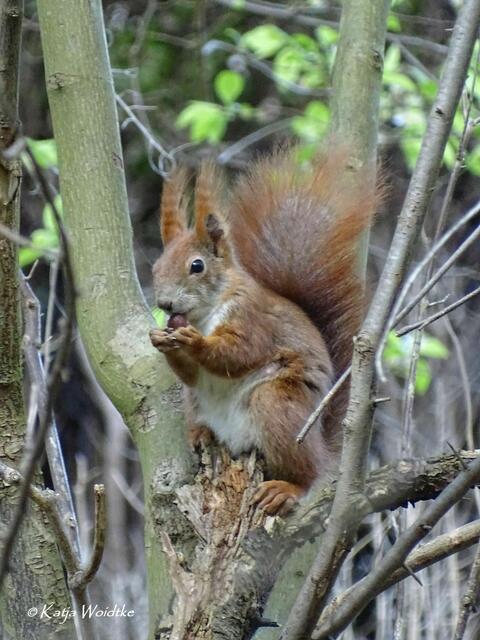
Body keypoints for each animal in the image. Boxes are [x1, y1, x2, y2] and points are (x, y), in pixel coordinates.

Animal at [150, 147, 377, 515]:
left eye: (197, 266)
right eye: (155, 267)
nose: (166, 304)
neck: (205, 313)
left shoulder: (253, 319)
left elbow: (239, 353)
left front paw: (194, 343)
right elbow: (191, 375)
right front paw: (161, 341)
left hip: (277, 406)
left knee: (305, 473)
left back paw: (286, 489)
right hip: (196, 404)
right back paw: (201, 435)